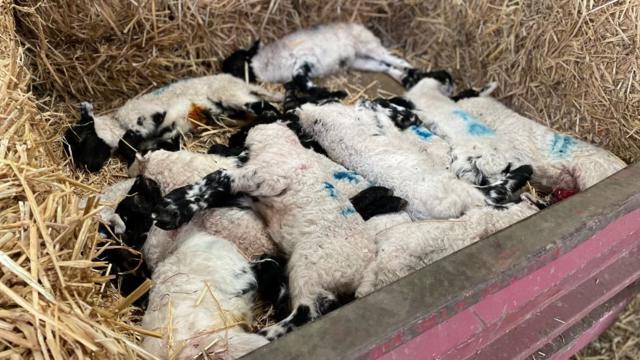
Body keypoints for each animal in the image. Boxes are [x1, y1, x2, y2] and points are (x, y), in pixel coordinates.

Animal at [63, 73, 282, 172]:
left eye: (81, 138)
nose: (86, 167)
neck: (118, 123)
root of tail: (238, 81)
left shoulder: (144, 120)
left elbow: (127, 144)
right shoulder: (164, 134)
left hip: (231, 95)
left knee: (267, 106)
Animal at [150, 122, 378, 338]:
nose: (217, 147)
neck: (281, 145)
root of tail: (362, 273)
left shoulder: (266, 178)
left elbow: (219, 177)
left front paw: (170, 207)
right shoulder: (253, 197)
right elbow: (221, 193)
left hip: (311, 266)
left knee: (307, 312)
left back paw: (266, 334)